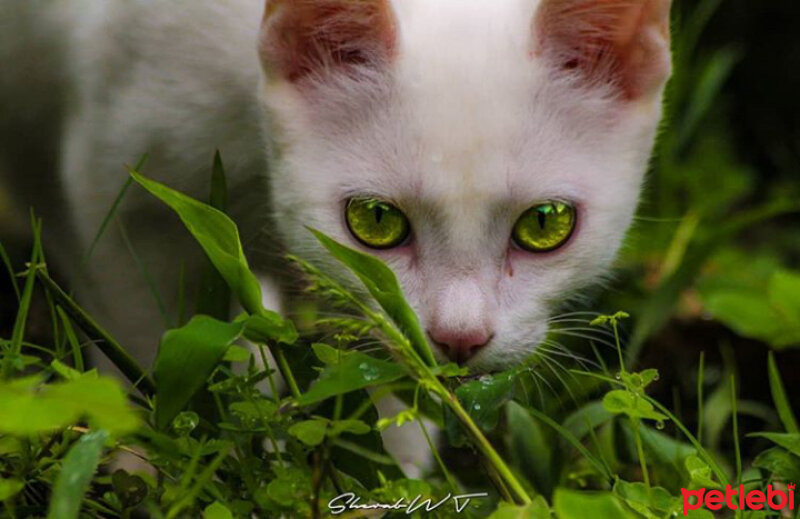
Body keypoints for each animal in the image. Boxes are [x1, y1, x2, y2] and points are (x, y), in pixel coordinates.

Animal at [3, 0, 672, 476]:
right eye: (375, 220)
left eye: (544, 224)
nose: (458, 339)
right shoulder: (116, 189)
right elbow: (142, 340)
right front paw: (146, 461)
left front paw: (389, 469)